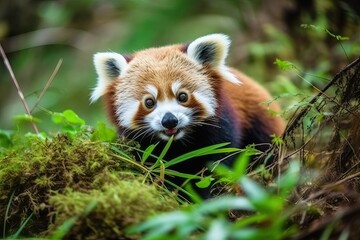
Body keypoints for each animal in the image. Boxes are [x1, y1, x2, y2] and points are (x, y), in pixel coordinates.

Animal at [91, 33, 286, 198]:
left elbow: (218, 163)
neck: (178, 144)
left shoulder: (221, 128)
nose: (169, 120)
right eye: (149, 102)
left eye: (182, 96)